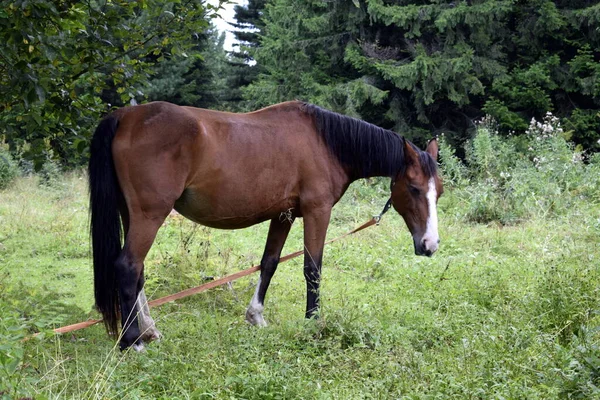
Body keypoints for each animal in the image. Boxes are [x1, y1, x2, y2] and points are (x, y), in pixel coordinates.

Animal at [90, 100, 446, 350]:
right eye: (414, 189)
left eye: (438, 192)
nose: (429, 245)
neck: (325, 142)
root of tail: (125, 116)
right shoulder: (317, 211)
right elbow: (312, 268)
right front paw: (313, 323)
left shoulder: (283, 215)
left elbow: (269, 263)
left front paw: (256, 317)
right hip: (150, 215)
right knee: (128, 267)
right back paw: (133, 343)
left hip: (133, 215)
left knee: (138, 273)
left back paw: (149, 330)